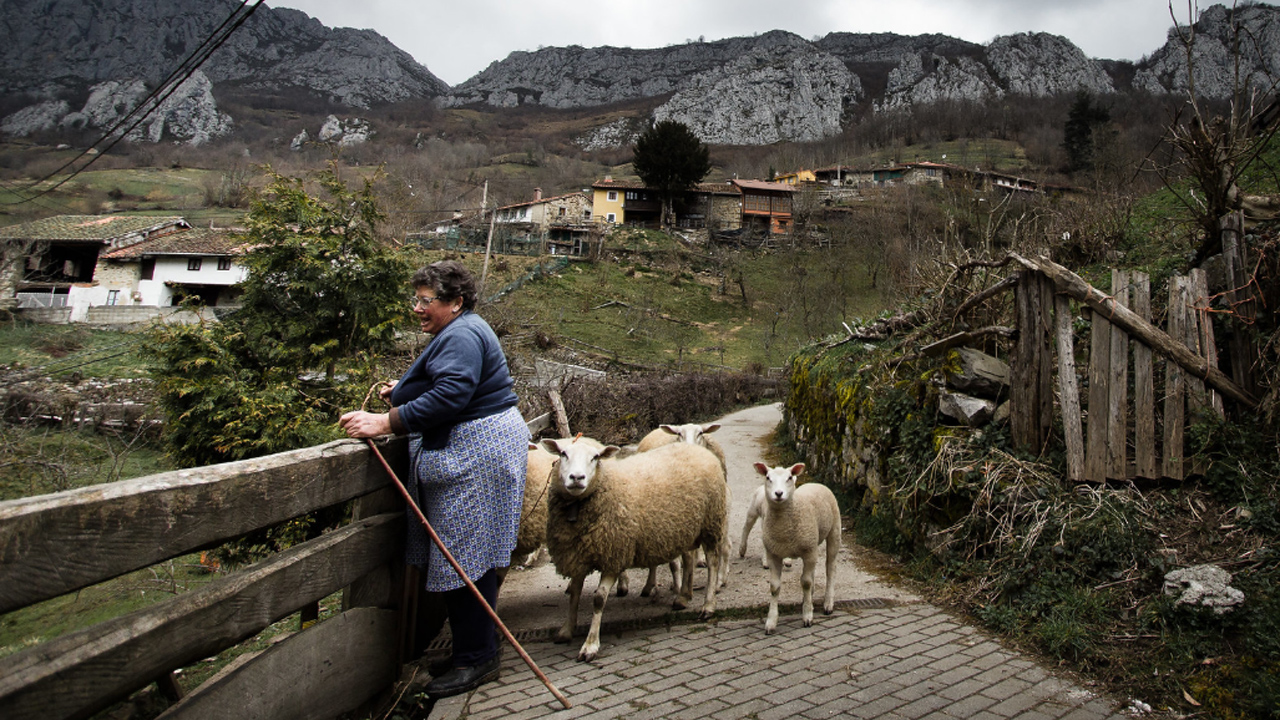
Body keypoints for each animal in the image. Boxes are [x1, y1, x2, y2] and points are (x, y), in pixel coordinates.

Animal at [540, 435, 727, 661]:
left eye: (595, 457)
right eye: (563, 454)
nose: (577, 478)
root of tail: (697, 450)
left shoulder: (614, 555)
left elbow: (598, 599)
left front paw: (590, 645)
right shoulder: (578, 556)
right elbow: (574, 595)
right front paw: (567, 630)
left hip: (711, 522)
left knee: (713, 562)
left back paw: (708, 605)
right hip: (686, 527)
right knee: (689, 558)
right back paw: (683, 597)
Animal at [747, 458, 839, 632]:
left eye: (789, 477)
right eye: (768, 478)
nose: (778, 494)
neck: (783, 528)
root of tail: (816, 483)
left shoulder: (808, 551)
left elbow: (806, 582)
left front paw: (807, 616)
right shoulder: (774, 554)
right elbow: (774, 587)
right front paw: (771, 621)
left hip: (834, 532)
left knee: (830, 568)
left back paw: (828, 602)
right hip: (813, 543)